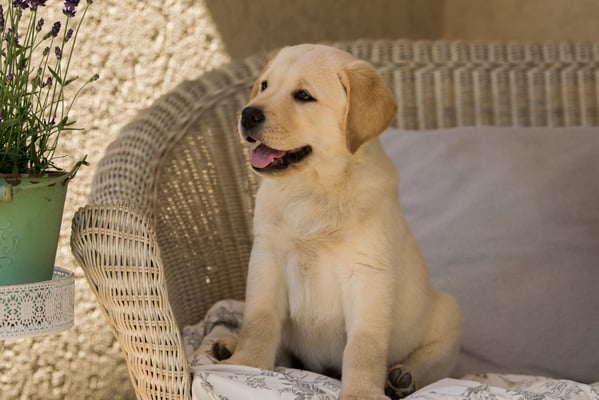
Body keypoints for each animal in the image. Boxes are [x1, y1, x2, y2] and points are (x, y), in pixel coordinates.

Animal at [216, 44, 461, 400]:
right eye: (264, 86)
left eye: (304, 96)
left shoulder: (369, 276)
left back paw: (402, 377)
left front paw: (361, 393)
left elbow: (364, 346)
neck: (314, 189)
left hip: (447, 312)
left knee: (431, 361)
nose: (247, 114)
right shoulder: (267, 258)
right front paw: (246, 364)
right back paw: (227, 346)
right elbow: (259, 320)